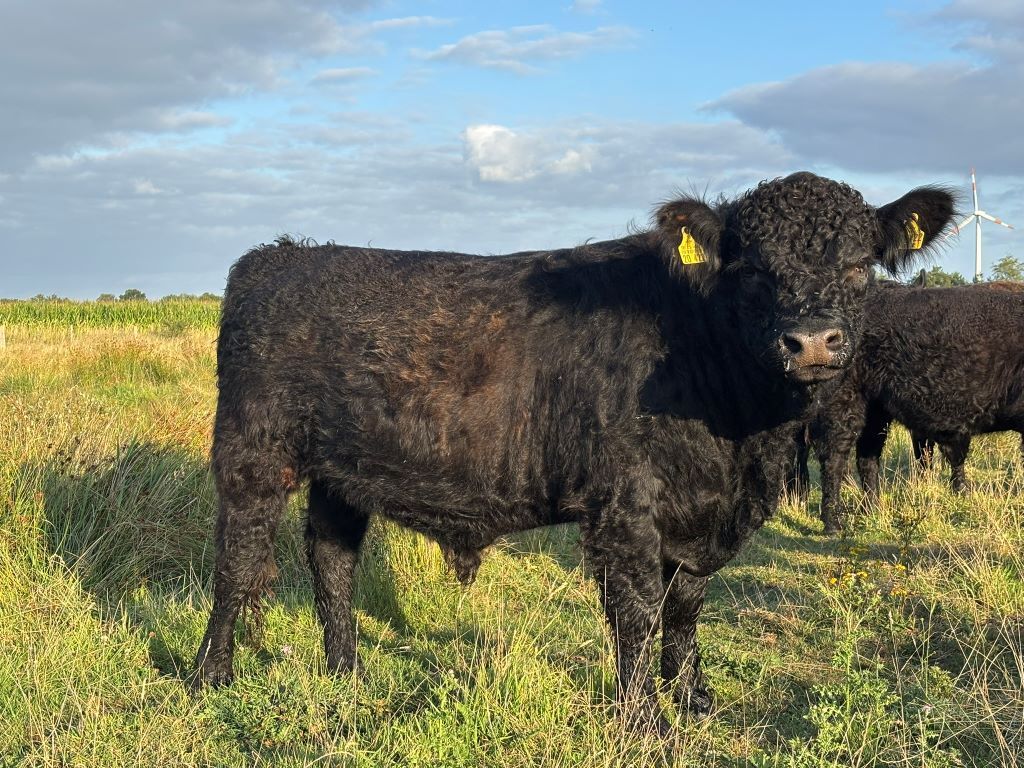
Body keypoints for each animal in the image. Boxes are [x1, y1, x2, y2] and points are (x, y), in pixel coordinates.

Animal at [192, 172, 953, 734]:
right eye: (752, 270)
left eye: (860, 267)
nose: (813, 341)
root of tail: (285, 253)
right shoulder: (625, 506)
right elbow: (639, 612)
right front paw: (646, 722)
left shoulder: (699, 516)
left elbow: (686, 607)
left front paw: (694, 699)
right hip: (252, 452)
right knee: (237, 563)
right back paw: (211, 677)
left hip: (342, 472)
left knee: (332, 560)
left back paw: (346, 671)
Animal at [807, 281, 1024, 533]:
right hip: (845, 402)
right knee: (834, 458)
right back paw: (833, 523)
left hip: (874, 412)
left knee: (867, 458)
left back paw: (871, 510)